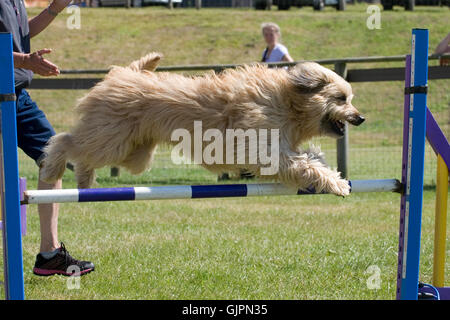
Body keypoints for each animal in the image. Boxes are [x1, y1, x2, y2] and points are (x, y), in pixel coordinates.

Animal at [40, 53, 366, 195]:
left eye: (349, 97)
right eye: (341, 98)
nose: (360, 118)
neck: (288, 101)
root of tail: (120, 74)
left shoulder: (280, 144)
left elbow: (310, 157)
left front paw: (330, 171)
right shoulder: (264, 148)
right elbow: (302, 164)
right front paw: (337, 183)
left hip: (133, 153)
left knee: (85, 157)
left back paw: (85, 184)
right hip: (112, 140)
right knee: (66, 142)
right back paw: (53, 168)